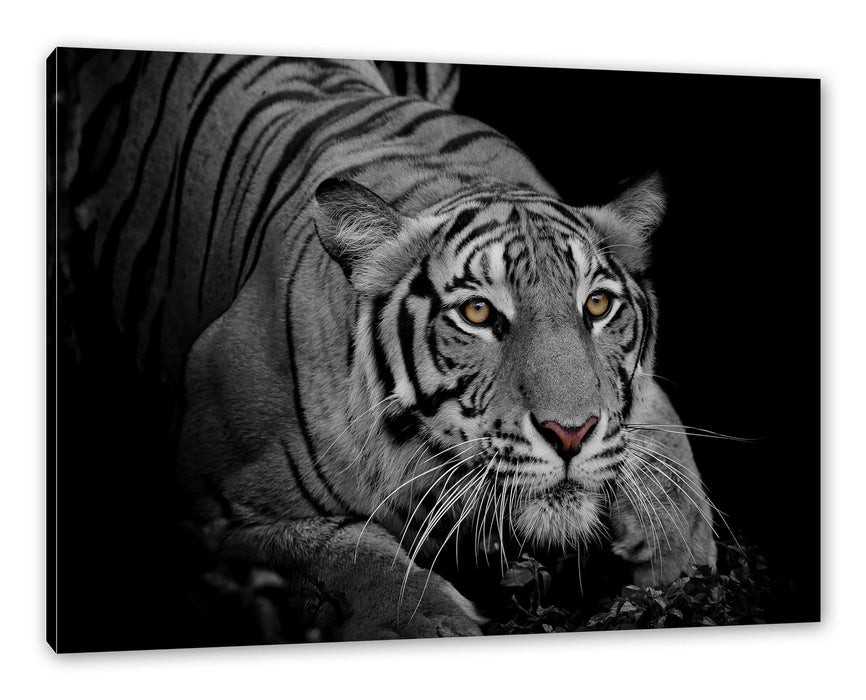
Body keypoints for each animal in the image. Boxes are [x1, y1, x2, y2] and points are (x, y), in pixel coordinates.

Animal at [58, 49, 717, 642]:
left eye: (597, 306)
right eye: (478, 312)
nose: (571, 434)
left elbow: (667, 457)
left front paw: (677, 558)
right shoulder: (213, 516)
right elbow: (350, 553)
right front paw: (427, 624)